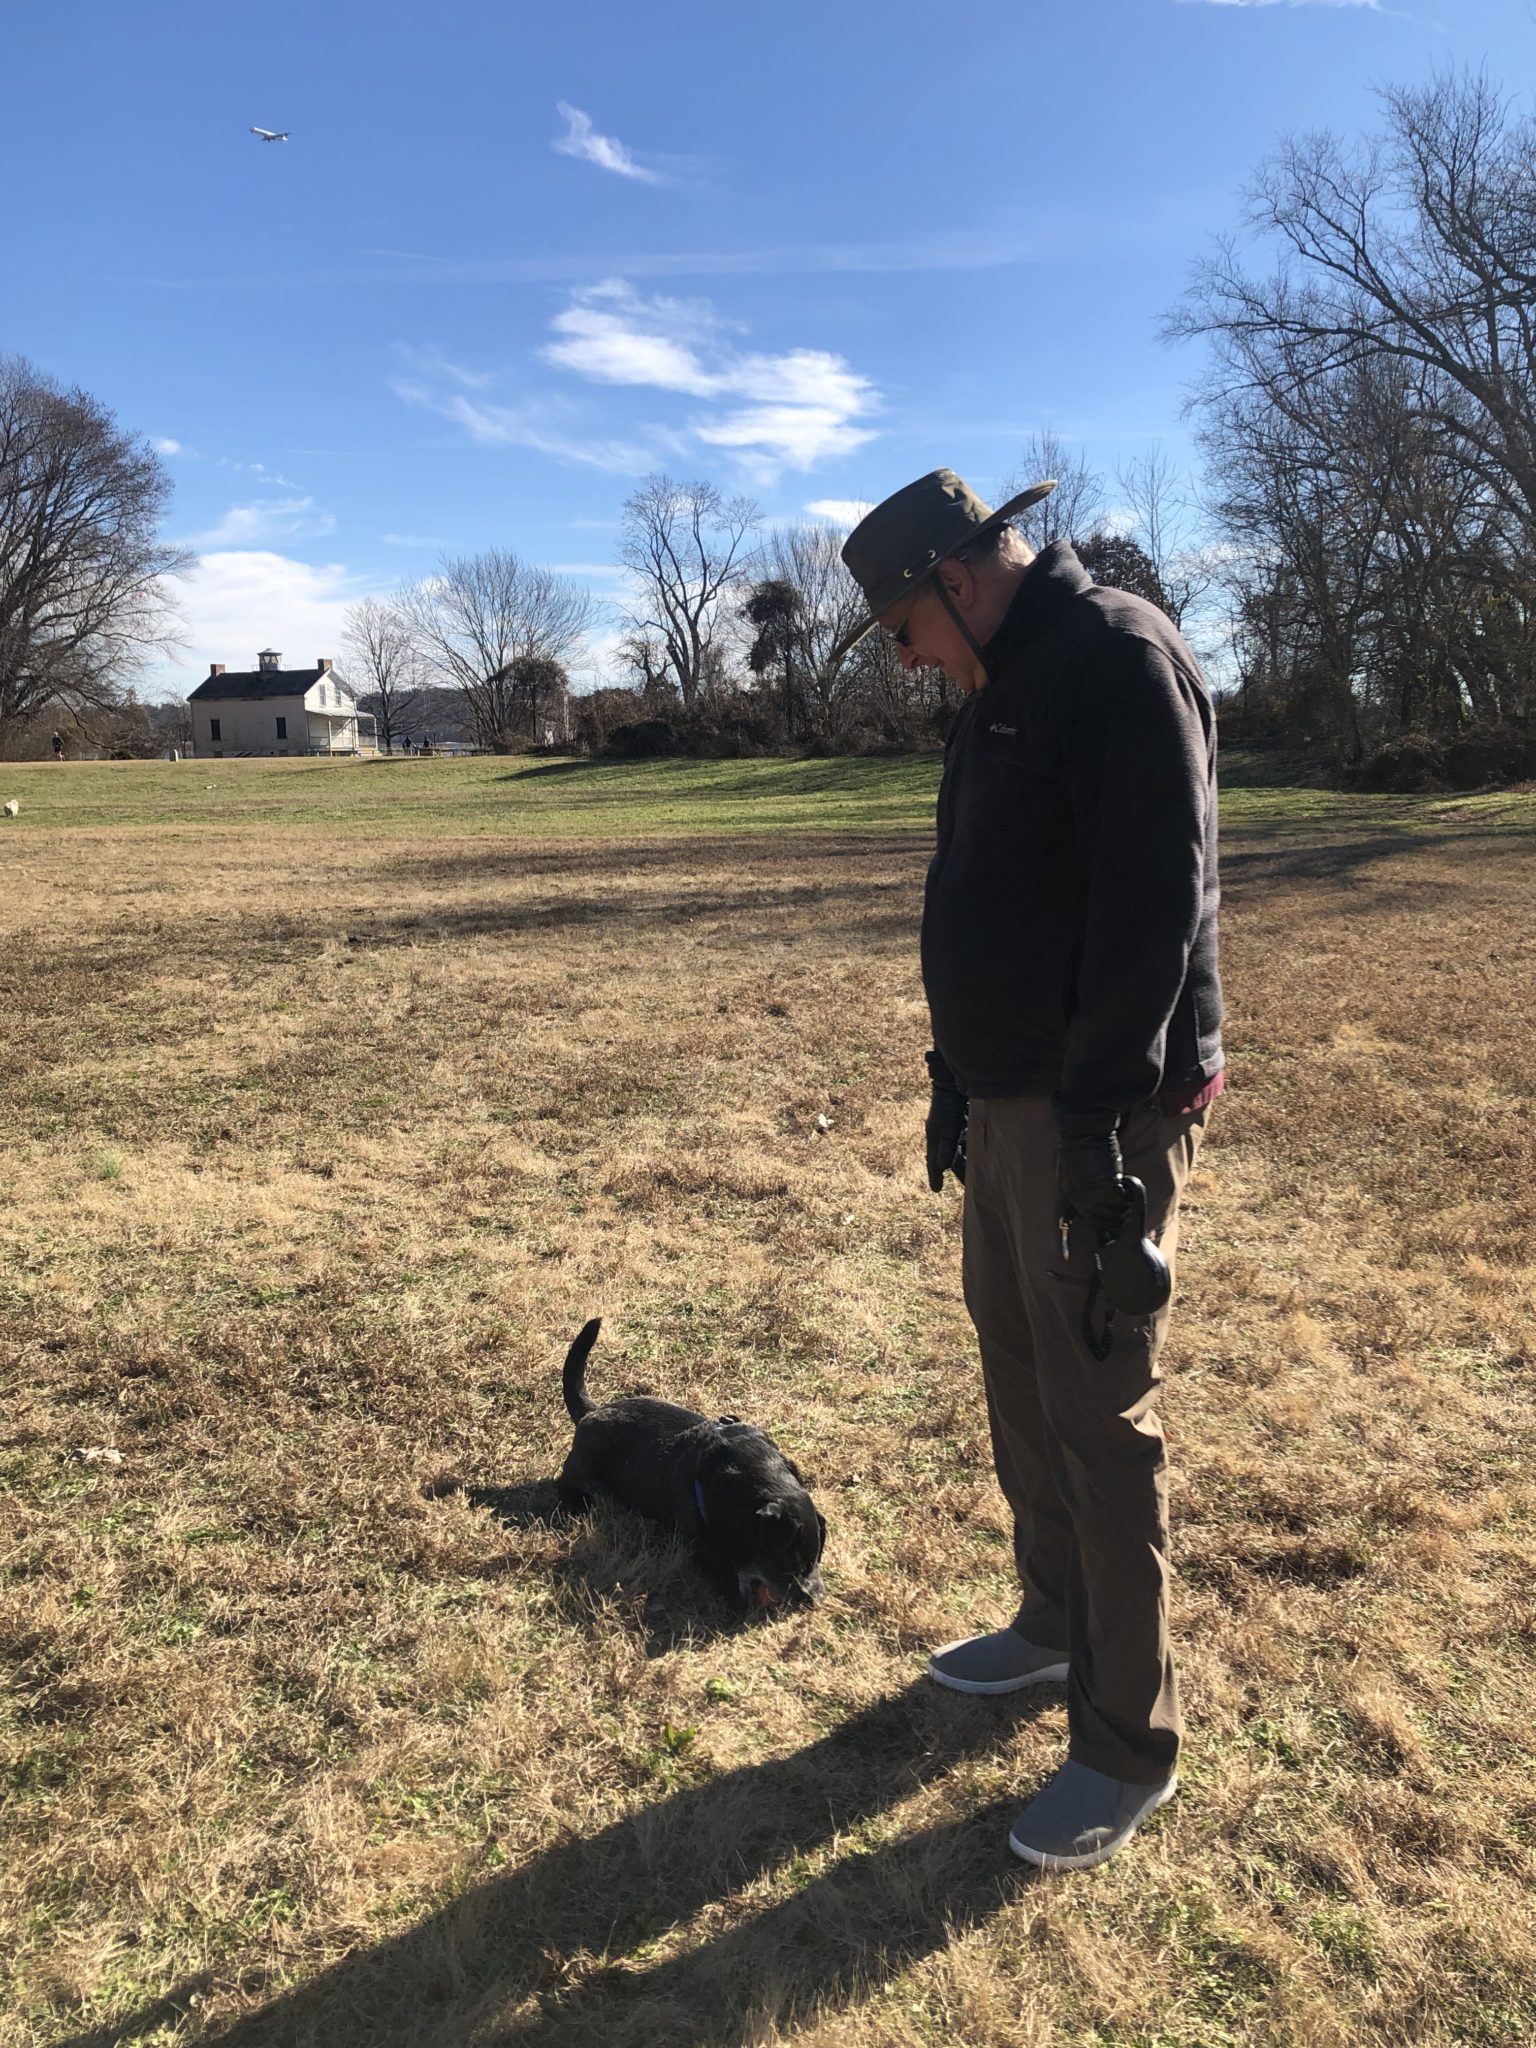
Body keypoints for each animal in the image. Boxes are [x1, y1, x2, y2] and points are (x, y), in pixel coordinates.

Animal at [561, 1310, 831, 1613]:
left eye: (816, 1556)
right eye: (790, 1562)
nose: (815, 1598)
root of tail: (590, 1413)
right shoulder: (701, 1549)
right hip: (584, 1479)